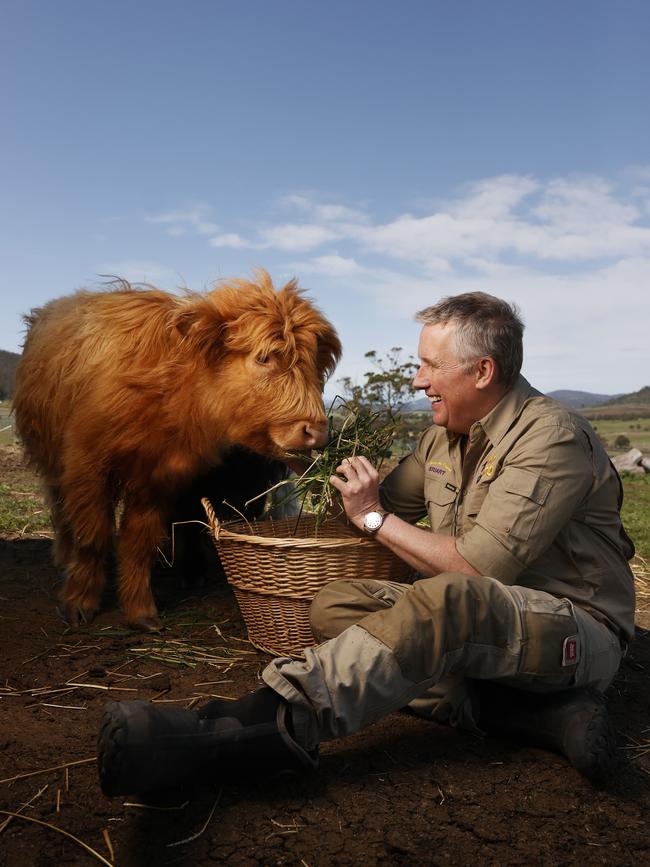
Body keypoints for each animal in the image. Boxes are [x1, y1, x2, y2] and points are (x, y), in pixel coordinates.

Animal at [13, 272, 340, 632]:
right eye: (263, 357)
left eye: (313, 363)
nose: (316, 431)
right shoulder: (86, 468)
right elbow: (92, 537)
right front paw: (80, 602)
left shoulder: (158, 480)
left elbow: (138, 543)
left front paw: (140, 610)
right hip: (51, 459)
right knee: (61, 513)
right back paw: (63, 557)